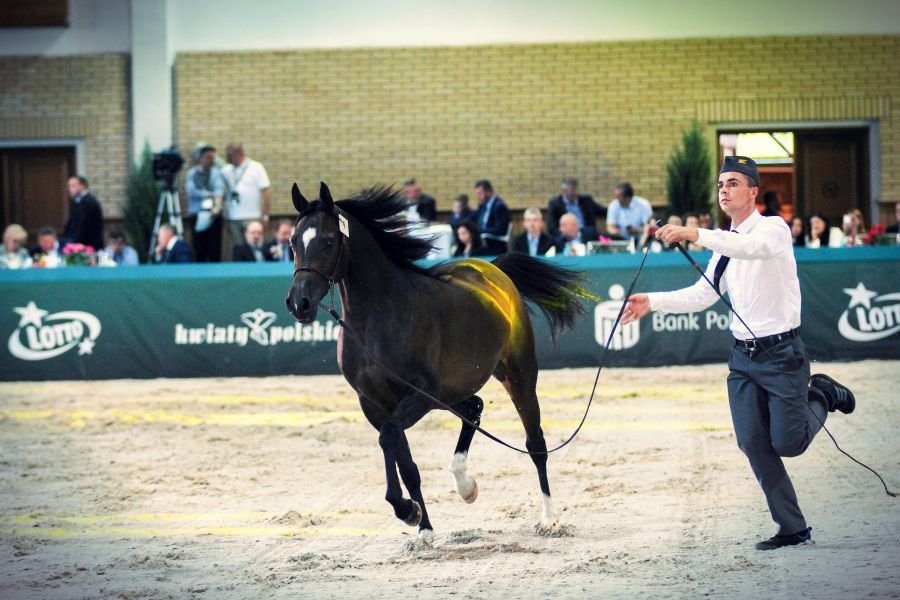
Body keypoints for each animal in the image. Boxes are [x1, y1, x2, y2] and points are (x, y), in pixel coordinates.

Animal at [286, 180, 592, 548]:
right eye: (293, 242)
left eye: (329, 241)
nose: (299, 303)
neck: (377, 319)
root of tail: (494, 269)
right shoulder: (375, 403)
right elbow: (405, 462)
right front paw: (422, 526)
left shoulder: (416, 394)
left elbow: (390, 439)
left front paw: (407, 510)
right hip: (447, 394)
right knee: (474, 408)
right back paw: (465, 485)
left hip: (516, 376)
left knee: (536, 446)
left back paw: (549, 519)